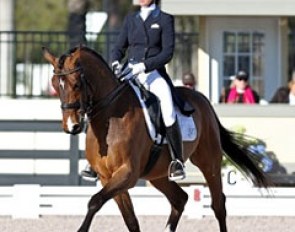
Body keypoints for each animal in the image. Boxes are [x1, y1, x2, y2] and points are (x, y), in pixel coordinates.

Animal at [42, 45, 270, 232]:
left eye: (76, 84)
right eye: (54, 84)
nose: (71, 126)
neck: (110, 117)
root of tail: (203, 99)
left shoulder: (127, 174)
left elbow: (94, 202)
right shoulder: (108, 177)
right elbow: (130, 220)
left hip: (209, 162)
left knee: (218, 205)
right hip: (157, 174)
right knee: (180, 199)